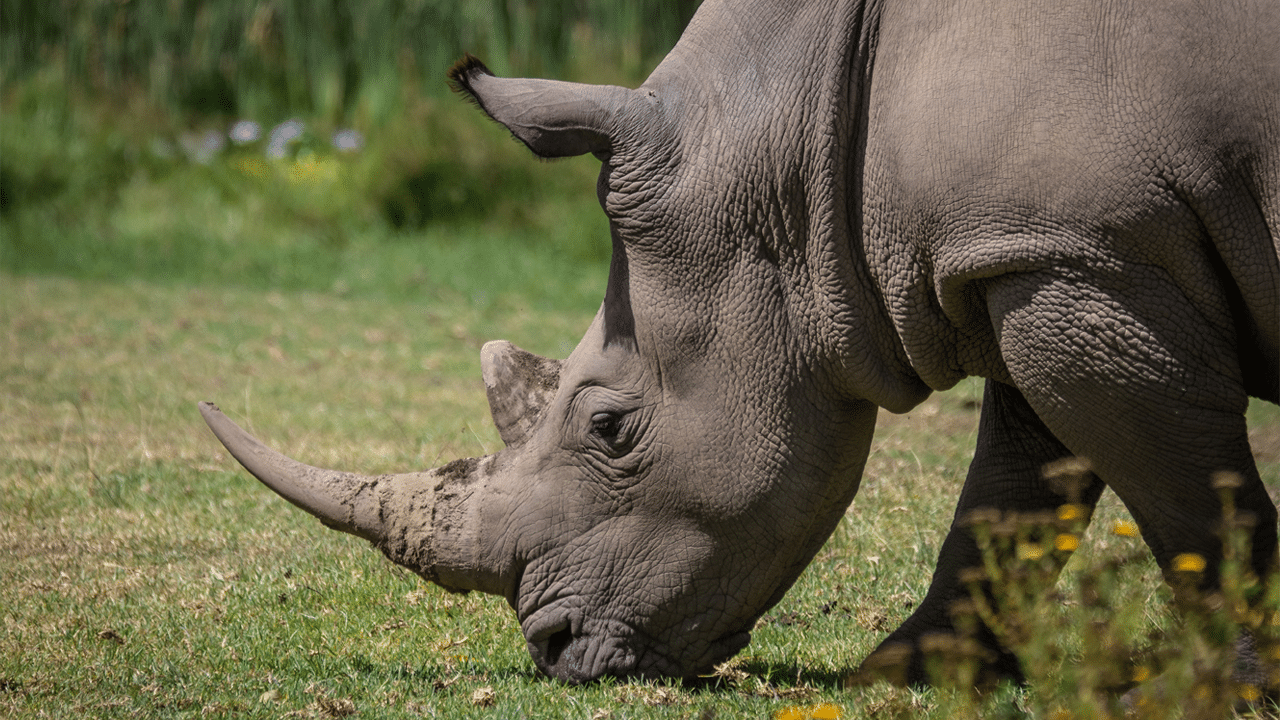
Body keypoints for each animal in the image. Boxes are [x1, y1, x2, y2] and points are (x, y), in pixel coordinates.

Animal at [197, 0, 1280, 681]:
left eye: (610, 429)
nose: (551, 652)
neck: (794, 135)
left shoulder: (1080, 253)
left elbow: (1191, 505)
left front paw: (1241, 679)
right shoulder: (1035, 251)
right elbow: (1013, 495)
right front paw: (904, 674)